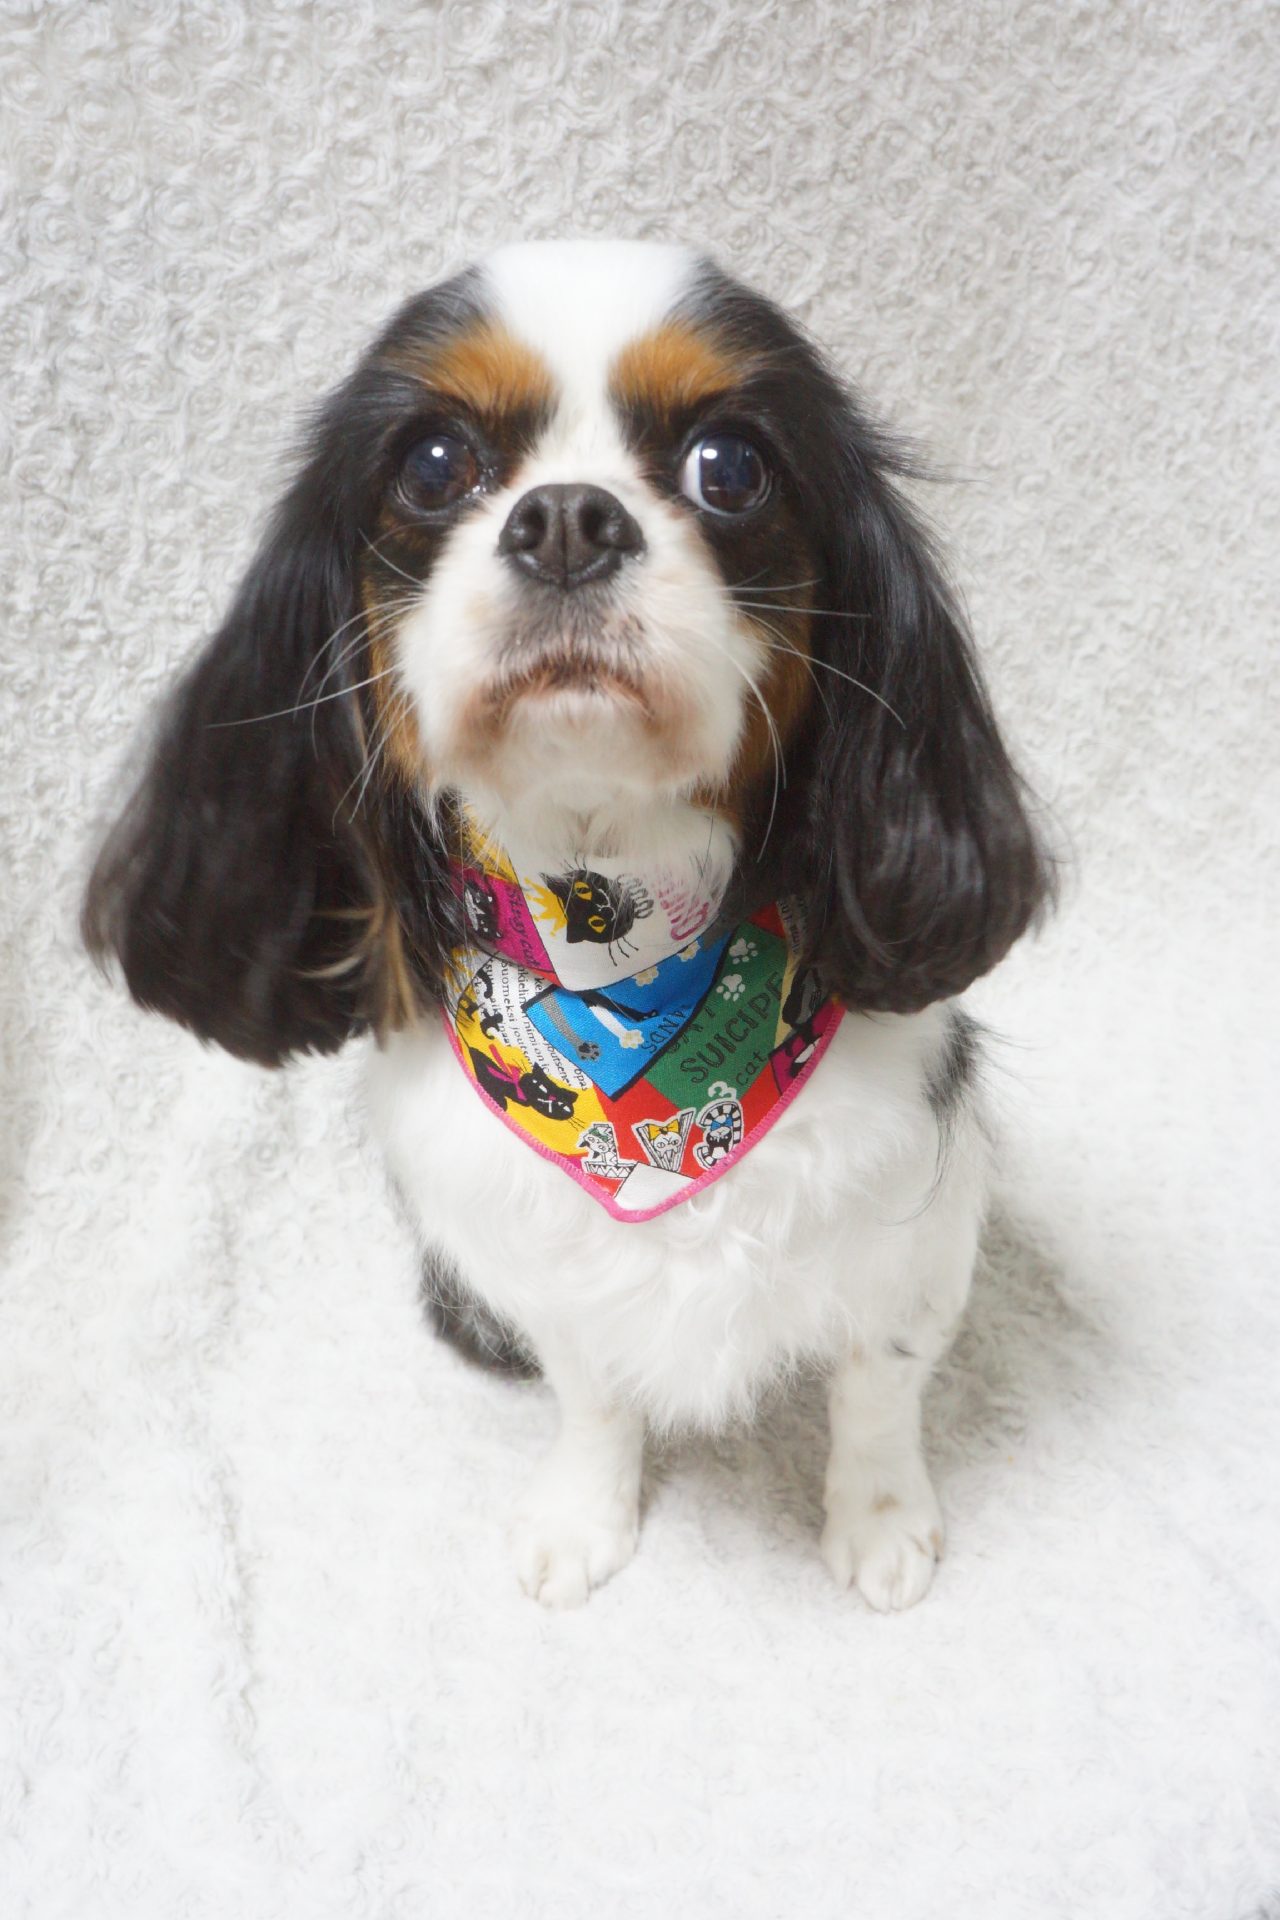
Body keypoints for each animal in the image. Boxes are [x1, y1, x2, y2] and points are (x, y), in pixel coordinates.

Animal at [84, 241, 1050, 1610]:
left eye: (729, 466)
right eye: (433, 463)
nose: (566, 521)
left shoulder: (908, 1213)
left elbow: (879, 1382)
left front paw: (877, 1523)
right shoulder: (543, 1259)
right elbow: (593, 1393)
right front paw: (584, 1518)